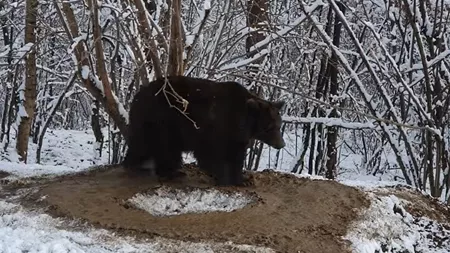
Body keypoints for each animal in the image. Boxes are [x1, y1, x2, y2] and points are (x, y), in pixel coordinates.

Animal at [122, 75, 284, 186]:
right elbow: (214, 154)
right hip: (162, 121)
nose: (281, 144)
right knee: (161, 147)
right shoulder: (216, 128)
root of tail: (136, 98)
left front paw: (242, 178)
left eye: (279, 125)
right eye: (269, 127)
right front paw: (225, 177)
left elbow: (235, 155)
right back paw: (168, 171)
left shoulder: (237, 136)